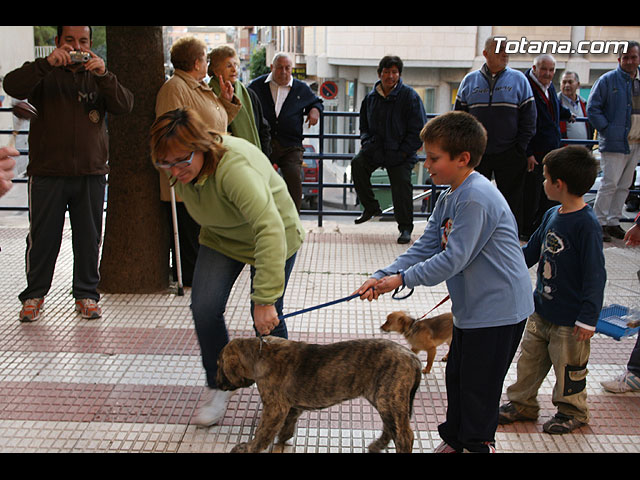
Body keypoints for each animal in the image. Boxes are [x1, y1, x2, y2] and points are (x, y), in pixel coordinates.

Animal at [218, 334, 422, 454]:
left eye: (219, 365)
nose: (216, 383)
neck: (260, 352)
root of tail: (413, 358)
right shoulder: (291, 405)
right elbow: (289, 422)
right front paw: (284, 437)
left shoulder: (275, 408)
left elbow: (262, 432)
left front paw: (248, 447)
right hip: (384, 400)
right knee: (390, 428)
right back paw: (377, 446)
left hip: (389, 398)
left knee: (404, 436)